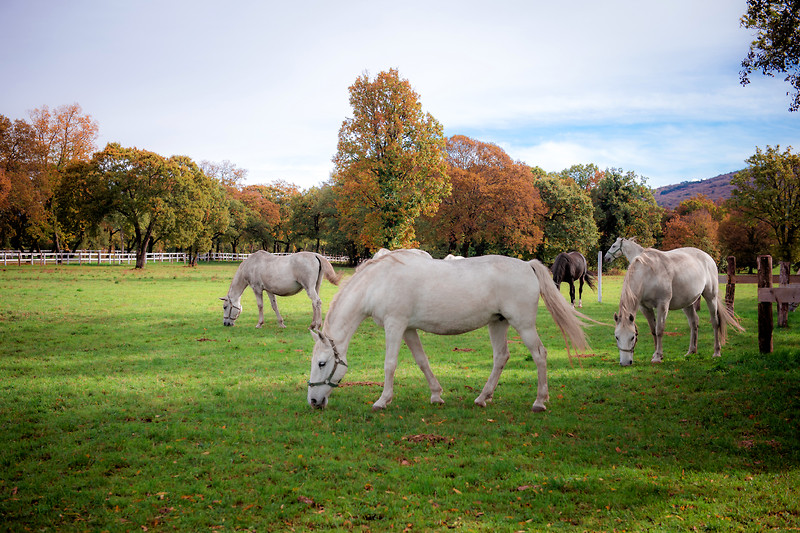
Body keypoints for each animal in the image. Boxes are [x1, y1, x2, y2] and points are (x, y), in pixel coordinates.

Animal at [306, 252, 588, 412]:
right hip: (498, 323)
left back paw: (539, 401)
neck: (378, 282)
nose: (313, 402)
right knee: (501, 357)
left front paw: (382, 401)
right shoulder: (408, 329)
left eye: (321, 363)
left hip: (523, 325)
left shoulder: (395, 325)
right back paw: (482, 398)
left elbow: (390, 364)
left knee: (539, 354)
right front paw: (436, 395)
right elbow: (422, 361)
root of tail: (528, 265)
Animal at [612, 246, 744, 364]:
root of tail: (708, 257)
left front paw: (658, 357)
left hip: (711, 297)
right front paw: (656, 354)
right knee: (693, 323)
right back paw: (691, 351)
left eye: (632, 337)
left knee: (715, 322)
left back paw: (716, 352)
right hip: (687, 303)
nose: (625, 363)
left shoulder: (663, 305)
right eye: (616, 337)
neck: (647, 274)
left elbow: (659, 329)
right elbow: (653, 330)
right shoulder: (645, 308)